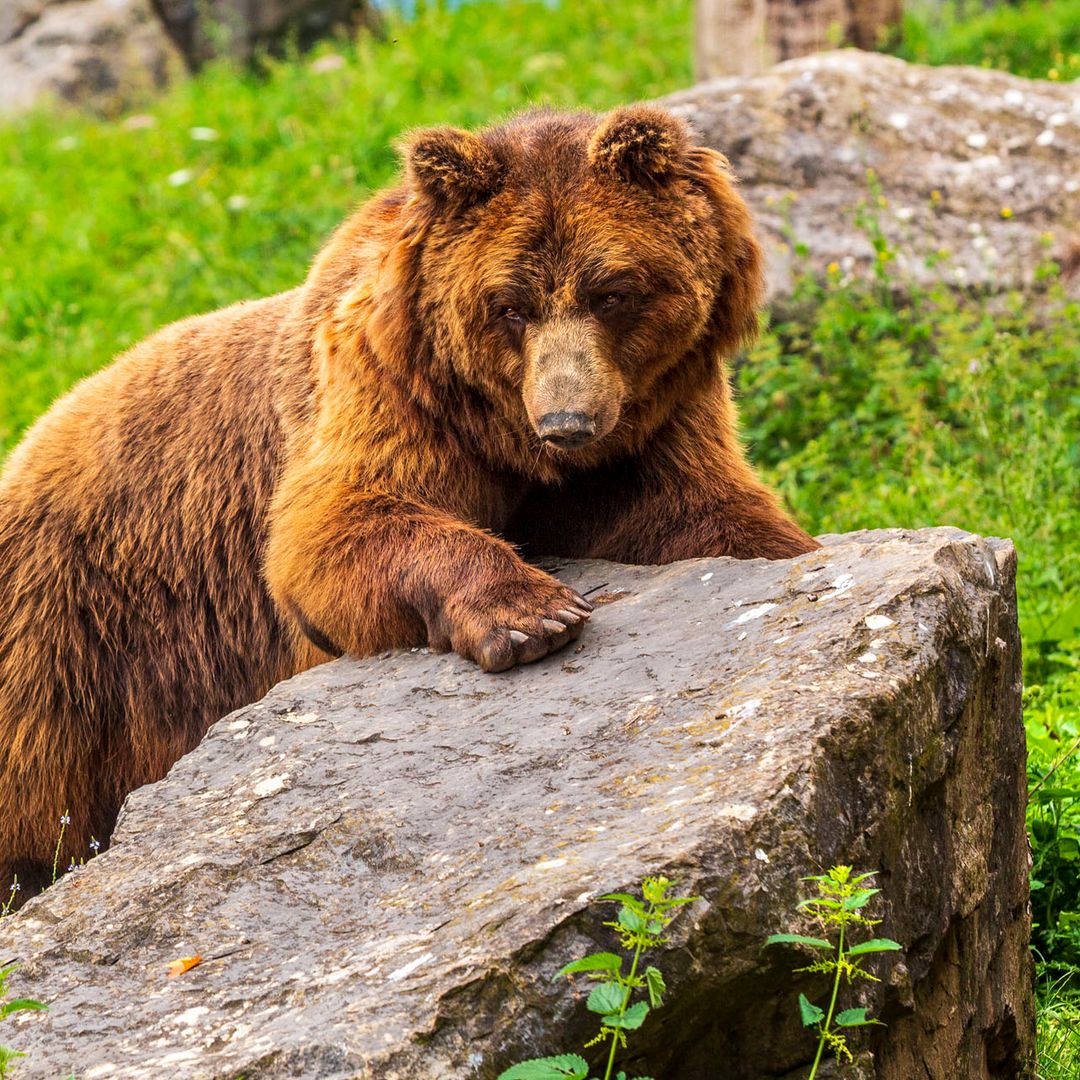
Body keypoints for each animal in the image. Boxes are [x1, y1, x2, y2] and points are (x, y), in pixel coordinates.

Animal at [0, 106, 818, 901]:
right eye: (509, 306)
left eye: (613, 292)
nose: (567, 422)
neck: (519, 451)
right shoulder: (387, 388)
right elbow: (336, 528)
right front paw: (530, 614)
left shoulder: (655, 428)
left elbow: (708, 517)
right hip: (70, 644)